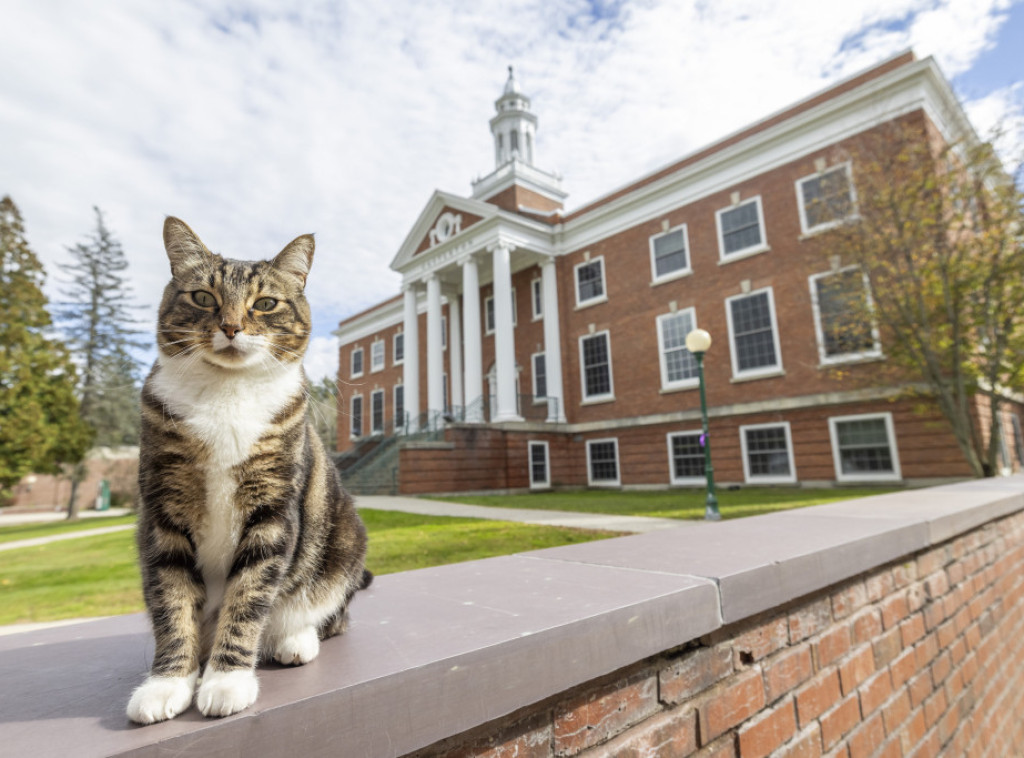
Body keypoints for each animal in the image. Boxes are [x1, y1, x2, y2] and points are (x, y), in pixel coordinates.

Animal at [125, 217, 370, 721]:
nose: (232, 326)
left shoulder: (272, 509)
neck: (227, 392)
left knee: (331, 614)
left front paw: (227, 680)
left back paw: (294, 639)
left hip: (345, 540)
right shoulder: (163, 511)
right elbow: (172, 599)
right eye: (203, 297)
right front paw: (167, 683)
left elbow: (249, 596)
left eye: (266, 303)